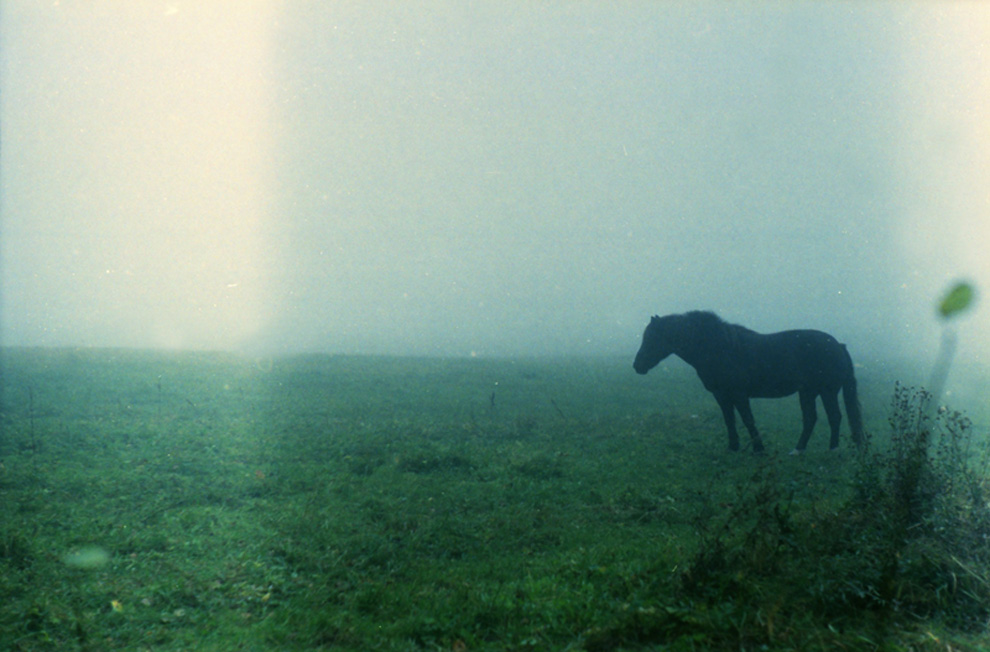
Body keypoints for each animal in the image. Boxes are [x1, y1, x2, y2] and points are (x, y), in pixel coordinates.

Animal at [633, 311, 864, 454]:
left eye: (652, 338)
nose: (637, 366)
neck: (719, 348)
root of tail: (838, 345)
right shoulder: (721, 395)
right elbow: (730, 420)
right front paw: (733, 447)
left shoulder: (739, 394)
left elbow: (747, 419)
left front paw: (758, 449)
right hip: (808, 392)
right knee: (811, 419)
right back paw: (797, 450)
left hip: (827, 391)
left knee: (833, 416)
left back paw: (832, 449)